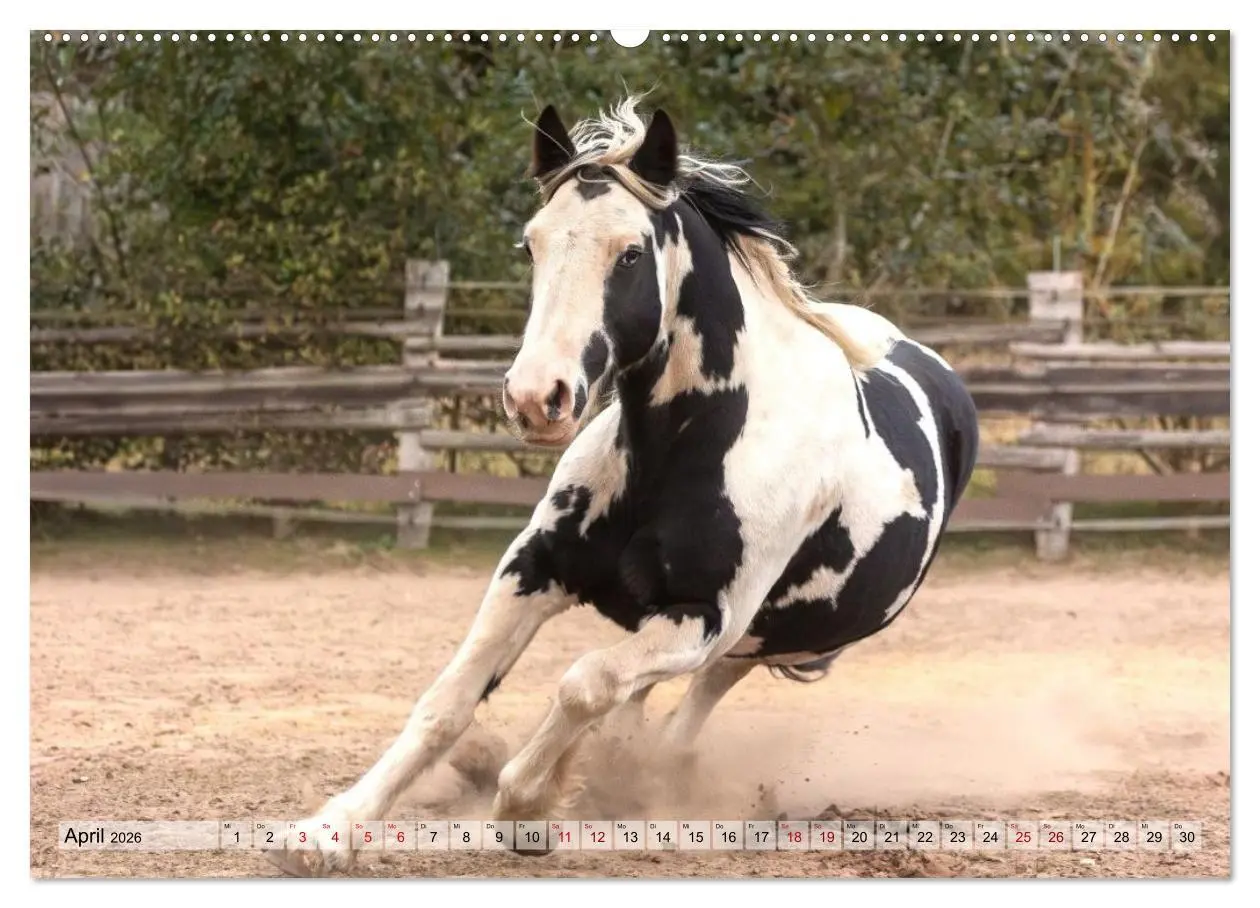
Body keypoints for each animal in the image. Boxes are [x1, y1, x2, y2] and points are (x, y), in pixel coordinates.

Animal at [267, 96, 979, 875]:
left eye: (631, 253)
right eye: (531, 246)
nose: (535, 398)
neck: (682, 449)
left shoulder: (705, 615)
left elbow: (586, 684)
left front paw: (525, 807)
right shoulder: (533, 567)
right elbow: (450, 700)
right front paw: (329, 831)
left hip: (778, 640)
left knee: (690, 697)